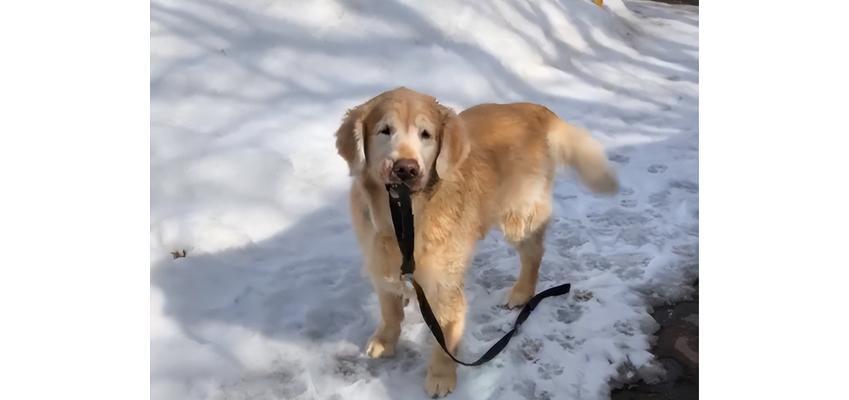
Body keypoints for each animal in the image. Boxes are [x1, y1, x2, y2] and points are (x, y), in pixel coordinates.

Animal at [332, 86, 616, 396]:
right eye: (385, 130)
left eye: (425, 134)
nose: (405, 168)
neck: (403, 218)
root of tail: (532, 109)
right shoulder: (379, 262)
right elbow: (389, 309)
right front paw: (385, 340)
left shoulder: (444, 285)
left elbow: (444, 336)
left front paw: (441, 377)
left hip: (519, 216)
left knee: (533, 254)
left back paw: (522, 293)